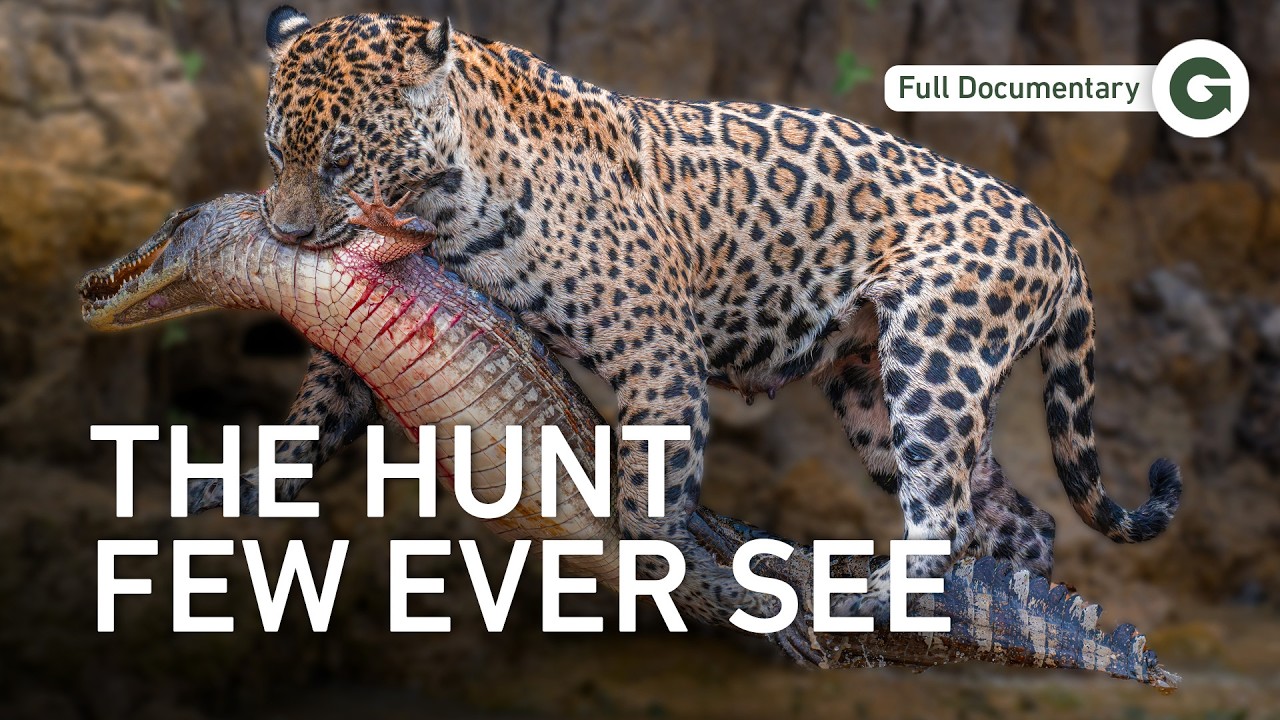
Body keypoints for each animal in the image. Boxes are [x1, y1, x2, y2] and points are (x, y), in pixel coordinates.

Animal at [255, 6, 1182, 658]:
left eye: (341, 159)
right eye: (275, 153)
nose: (287, 233)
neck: (447, 200)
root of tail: (1056, 234)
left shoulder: (658, 353)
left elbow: (647, 495)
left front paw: (671, 572)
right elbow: (323, 398)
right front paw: (244, 482)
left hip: (935, 353)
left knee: (946, 508)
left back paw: (881, 598)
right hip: (876, 394)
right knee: (1018, 516)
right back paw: (999, 608)